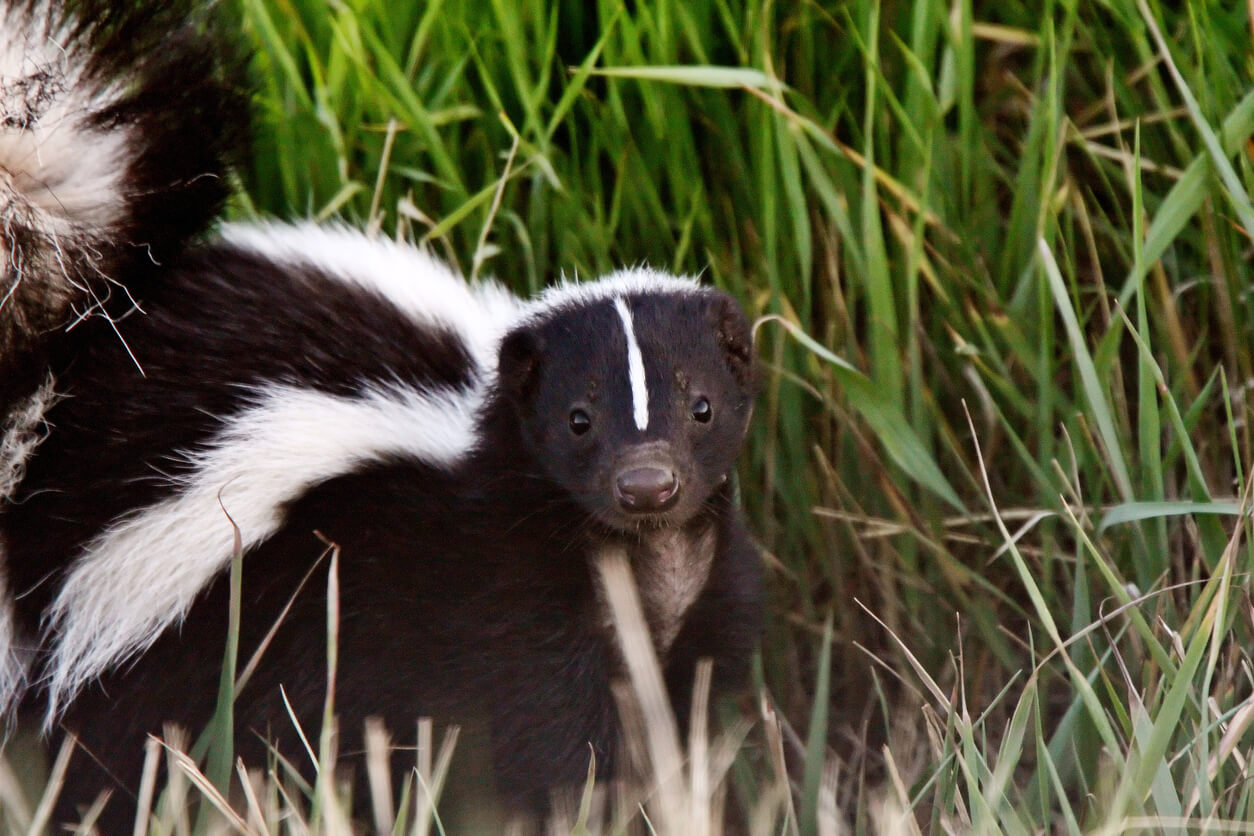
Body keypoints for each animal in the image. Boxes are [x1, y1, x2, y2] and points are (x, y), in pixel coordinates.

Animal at [0, 0, 762, 832]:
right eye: (578, 420)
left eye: (702, 407)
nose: (648, 485)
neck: (641, 561)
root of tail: (62, 374)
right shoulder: (503, 591)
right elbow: (549, 738)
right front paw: (592, 806)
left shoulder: (703, 597)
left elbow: (701, 718)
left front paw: (700, 799)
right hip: (171, 630)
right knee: (134, 757)